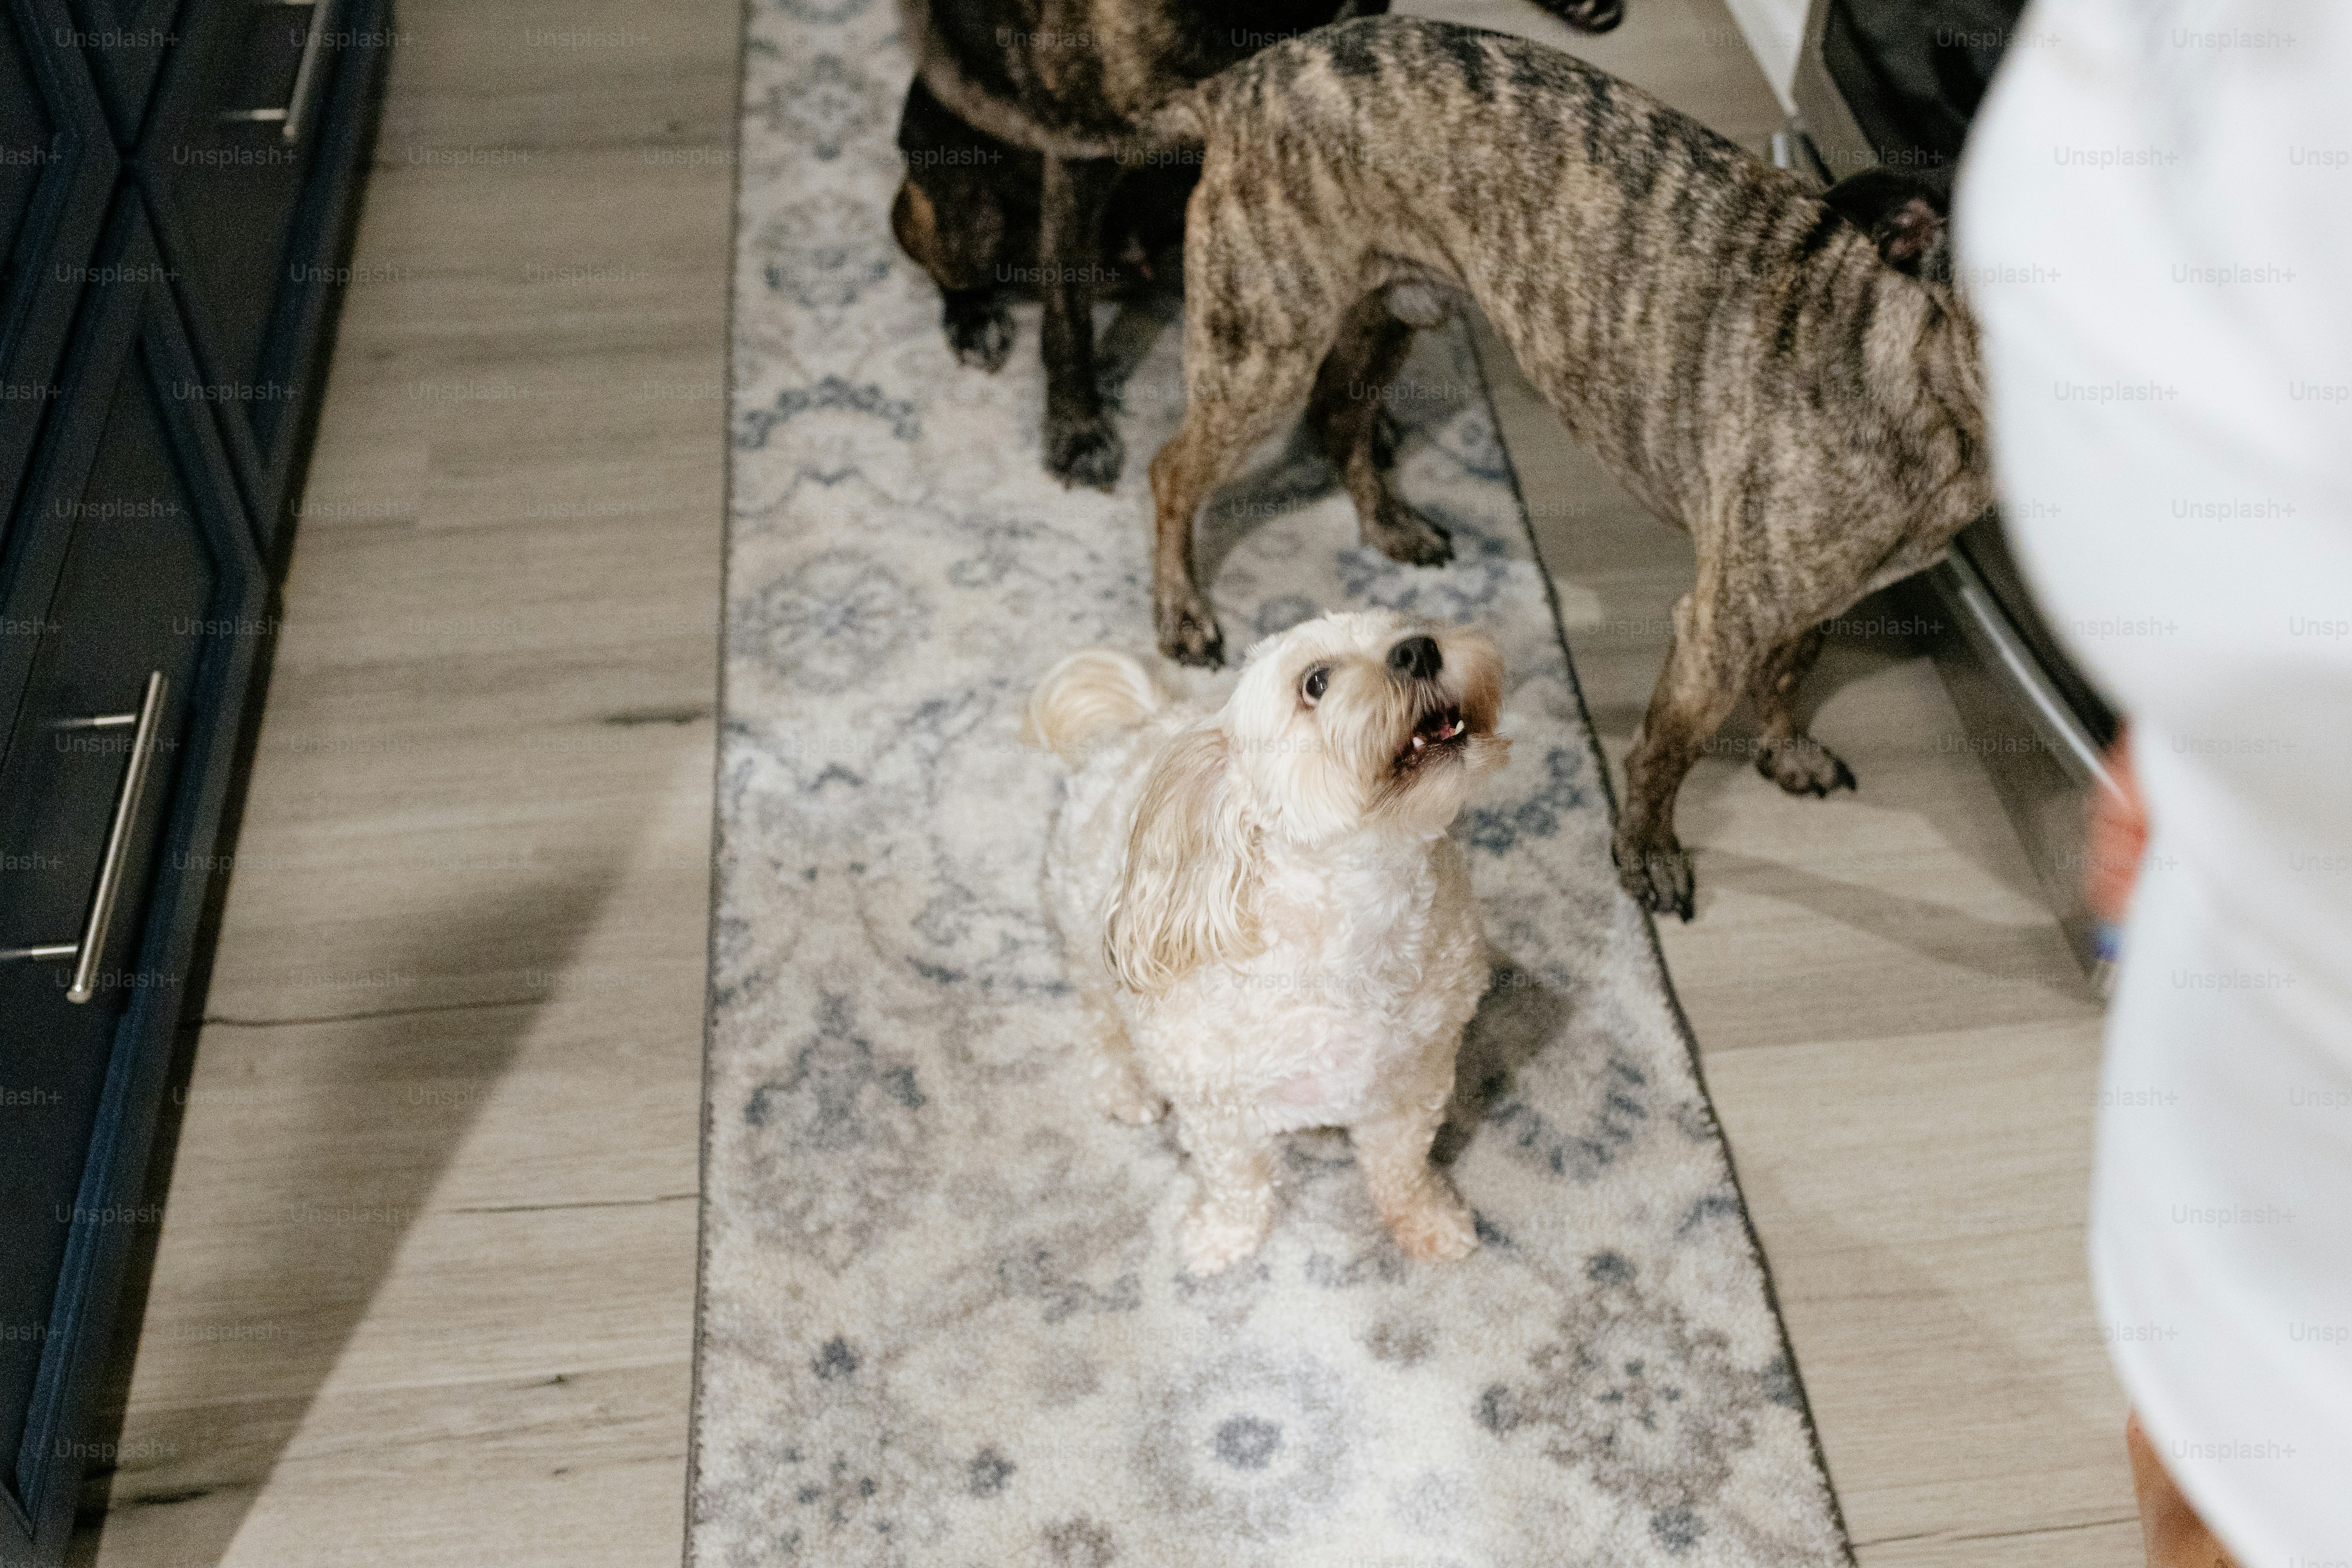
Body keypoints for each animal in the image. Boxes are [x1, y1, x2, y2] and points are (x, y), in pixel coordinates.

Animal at [898, 0, 1637, 491]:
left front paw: (1357, 415)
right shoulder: (1085, 150)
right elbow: (1067, 318)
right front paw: (1078, 430)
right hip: (965, 209)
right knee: (938, 250)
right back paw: (973, 317)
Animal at [1025, 611, 1505, 1279]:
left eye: (1407, 626)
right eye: (1315, 682)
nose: (1419, 650)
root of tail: (1143, 724)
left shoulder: (1415, 1082)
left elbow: (1401, 1167)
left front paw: (1429, 1222)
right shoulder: (1218, 1108)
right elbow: (1239, 1183)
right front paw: (1223, 1239)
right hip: (1087, 938)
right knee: (1102, 1022)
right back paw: (1126, 1087)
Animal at [1148, 18, 1994, 912]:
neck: (1914, 383)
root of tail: (1241, 82)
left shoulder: (1812, 600)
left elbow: (1792, 674)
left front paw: (1787, 752)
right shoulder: (1718, 631)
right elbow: (1667, 752)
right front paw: (1647, 852)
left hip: (1386, 316)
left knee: (1340, 421)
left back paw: (1389, 525)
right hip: (1263, 355)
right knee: (1171, 472)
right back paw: (1181, 610)